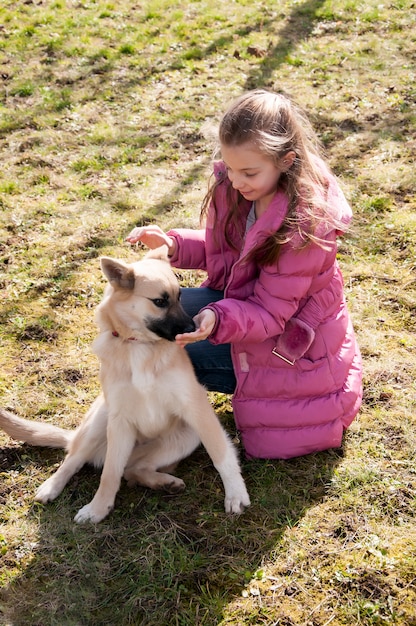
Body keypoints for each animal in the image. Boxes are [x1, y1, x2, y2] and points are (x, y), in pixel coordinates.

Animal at [0, 246, 249, 520]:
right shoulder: (120, 420)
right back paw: (52, 486)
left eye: (180, 296)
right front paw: (98, 509)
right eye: (160, 301)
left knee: (132, 470)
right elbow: (109, 473)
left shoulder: (196, 407)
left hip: (186, 437)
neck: (138, 345)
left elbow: (221, 453)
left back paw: (164, 482)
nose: (193, 327)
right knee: (76, 459)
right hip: (100, 420)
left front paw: (235, 493)